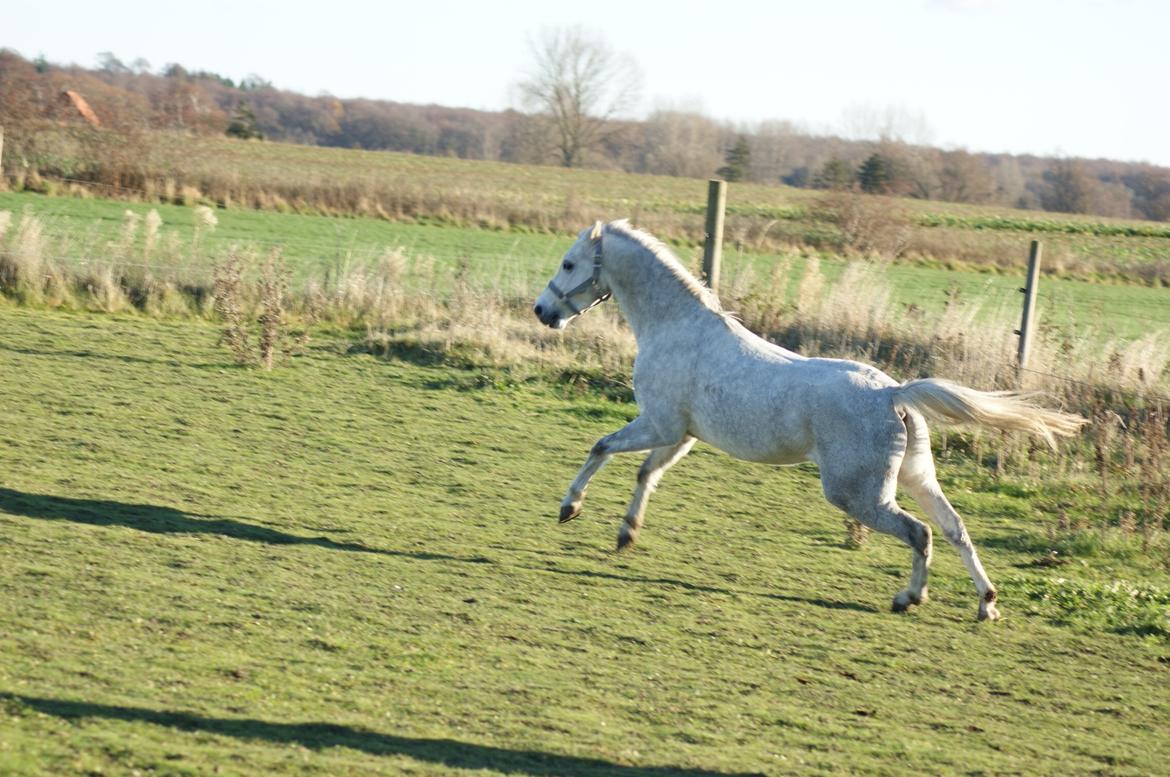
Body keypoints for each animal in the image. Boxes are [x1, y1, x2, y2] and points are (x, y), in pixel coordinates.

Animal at [533, 220, 1086, 621]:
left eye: (568, 262)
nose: (542, 311)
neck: (674, 327)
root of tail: (894, 394)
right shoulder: (681, 434)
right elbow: (646, 472)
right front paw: (626, 534)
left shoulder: (660, 424)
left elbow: (602, 447)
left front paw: (569, 507)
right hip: (916, 476)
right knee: (955, 528)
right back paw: (986, 604)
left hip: (857, 494)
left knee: (920, 533)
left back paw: (909, 599)